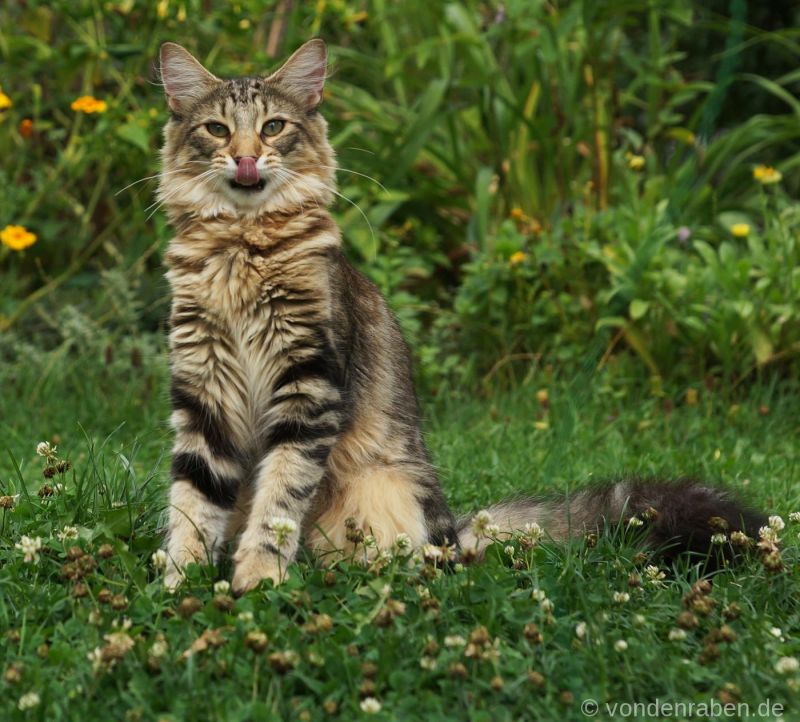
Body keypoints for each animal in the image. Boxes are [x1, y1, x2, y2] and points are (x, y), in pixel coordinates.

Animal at [156, 38, 764, 592]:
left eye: (274, 126)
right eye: (217, 130)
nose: (246, 158)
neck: (241, 250)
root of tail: (453, 531)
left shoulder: (308, 386)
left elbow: (278, 502)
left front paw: (257, 579)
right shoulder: (204, 390)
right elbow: (193, 500)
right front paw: (181, 582)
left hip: (385, 493)